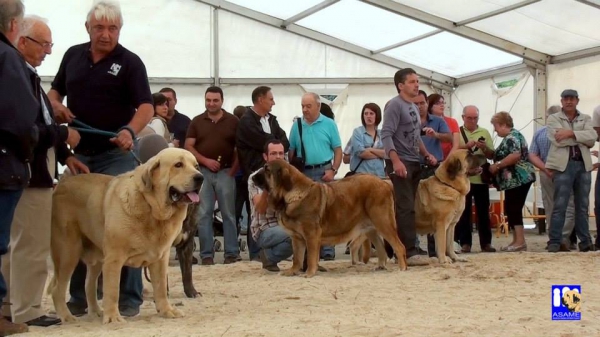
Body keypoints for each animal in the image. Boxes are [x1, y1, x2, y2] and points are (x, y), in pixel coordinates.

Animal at [251, 159, 406, 276]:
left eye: (266, 169)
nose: (252, 176)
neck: (291, 194)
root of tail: (385, 183)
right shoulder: (296, 238)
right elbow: (297, 258)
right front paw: (292, 271)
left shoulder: (311, 235)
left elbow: (311, 256)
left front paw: (309, 273)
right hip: (371, 229)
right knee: (381, 248)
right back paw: (380, 266)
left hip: (383, 223)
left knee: (399, 246)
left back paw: (402, 268)